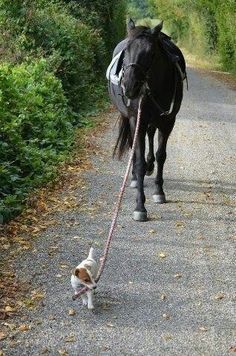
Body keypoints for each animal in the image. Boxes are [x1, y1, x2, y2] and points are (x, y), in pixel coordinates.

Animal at [107, 19, 186, 221]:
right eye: (127, 50)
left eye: (151, 53)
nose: (129, 86)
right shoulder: (137, 120)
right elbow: (139, 160)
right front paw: (139, 206)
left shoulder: (168, 121)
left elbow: (161, 155)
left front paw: (159, 192)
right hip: (131, 119)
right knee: (134, 148)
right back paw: (135, 178)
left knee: (150, 135)